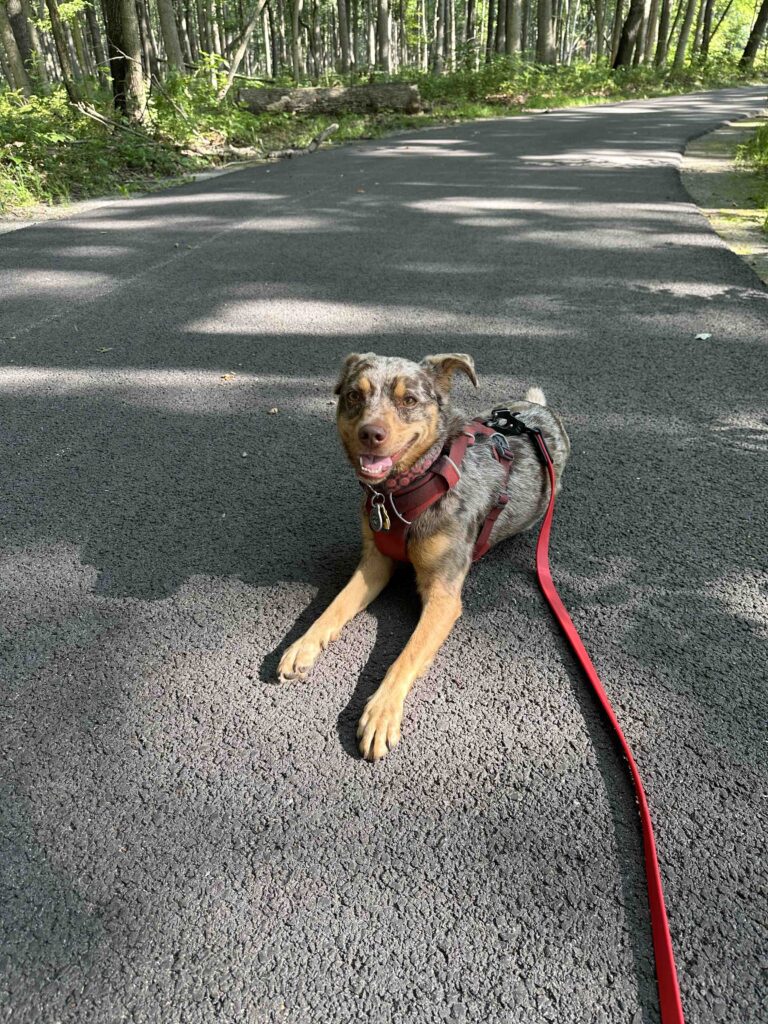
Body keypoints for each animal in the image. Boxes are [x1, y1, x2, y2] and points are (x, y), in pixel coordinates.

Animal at [280, 352, 569, 761]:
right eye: (354, 396)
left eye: (410, 400)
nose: (371, 433)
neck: (405, 491)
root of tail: (538, 411)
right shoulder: (374, 564)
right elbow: (333, 608)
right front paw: (302, 646)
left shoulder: (443, 598)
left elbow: (405, 657)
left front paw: (382, 712)